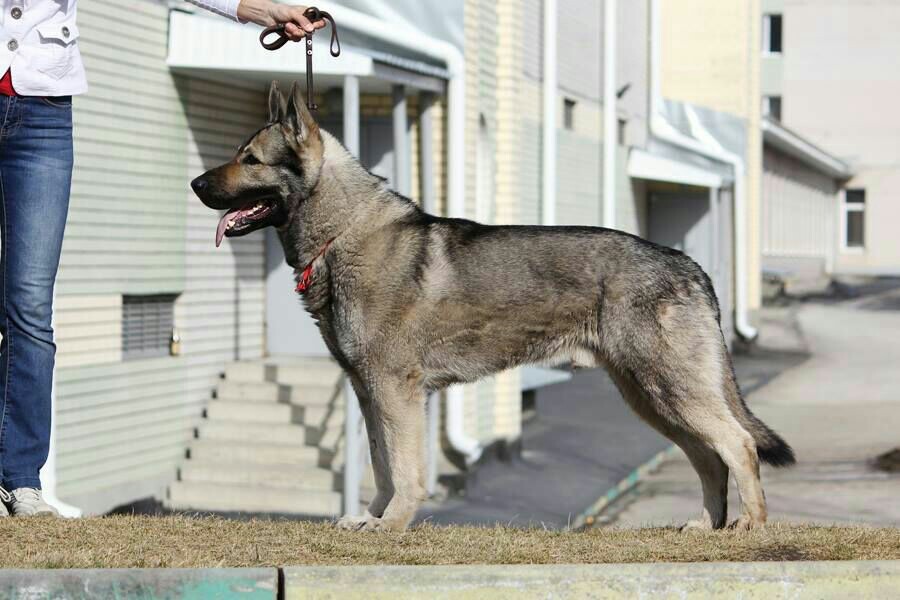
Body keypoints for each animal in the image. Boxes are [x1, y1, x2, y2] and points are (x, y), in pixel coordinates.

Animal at [190, 81, 796, 536]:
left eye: (250, 159)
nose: (194, 183)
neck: (343, 233)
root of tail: (690, 265)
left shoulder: (395, 391)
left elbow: (404, 469)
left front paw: (394, 524)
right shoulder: (368, 391)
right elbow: (382, 465)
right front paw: (372, 519)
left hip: (668, 389)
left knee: (738, 445)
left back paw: (751, 527)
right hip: (651, 398)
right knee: (709, 457)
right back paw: (707, 525)